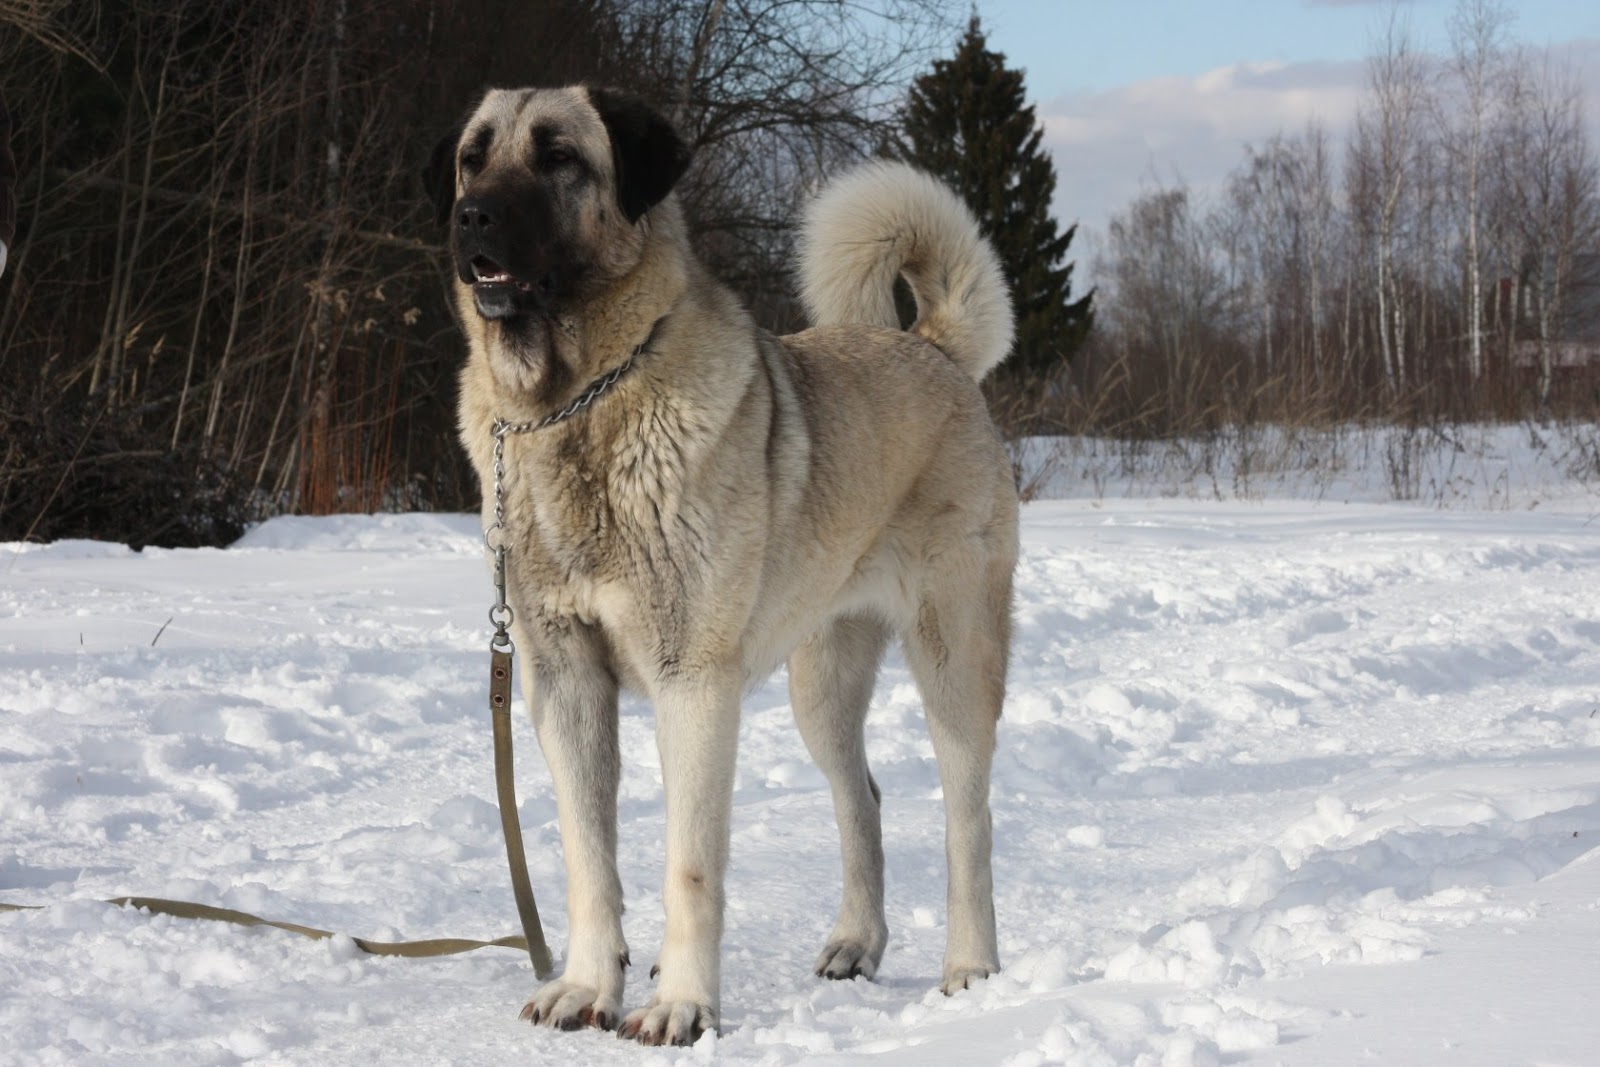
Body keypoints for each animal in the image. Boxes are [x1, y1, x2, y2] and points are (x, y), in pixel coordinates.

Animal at [425, 85, 1017, 1049]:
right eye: (473, 157)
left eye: (559, 157)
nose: (471, 214)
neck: (577, 403)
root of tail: (932, 347)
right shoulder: (564, 679)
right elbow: (589, 859)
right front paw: (585, 986)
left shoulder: (692, 681)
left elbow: (689, 867)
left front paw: (681, 1005)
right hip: (823, 683)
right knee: (863, 799)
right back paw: (856, 942)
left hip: (954, 658)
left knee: (969, 818)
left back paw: (970, 968)